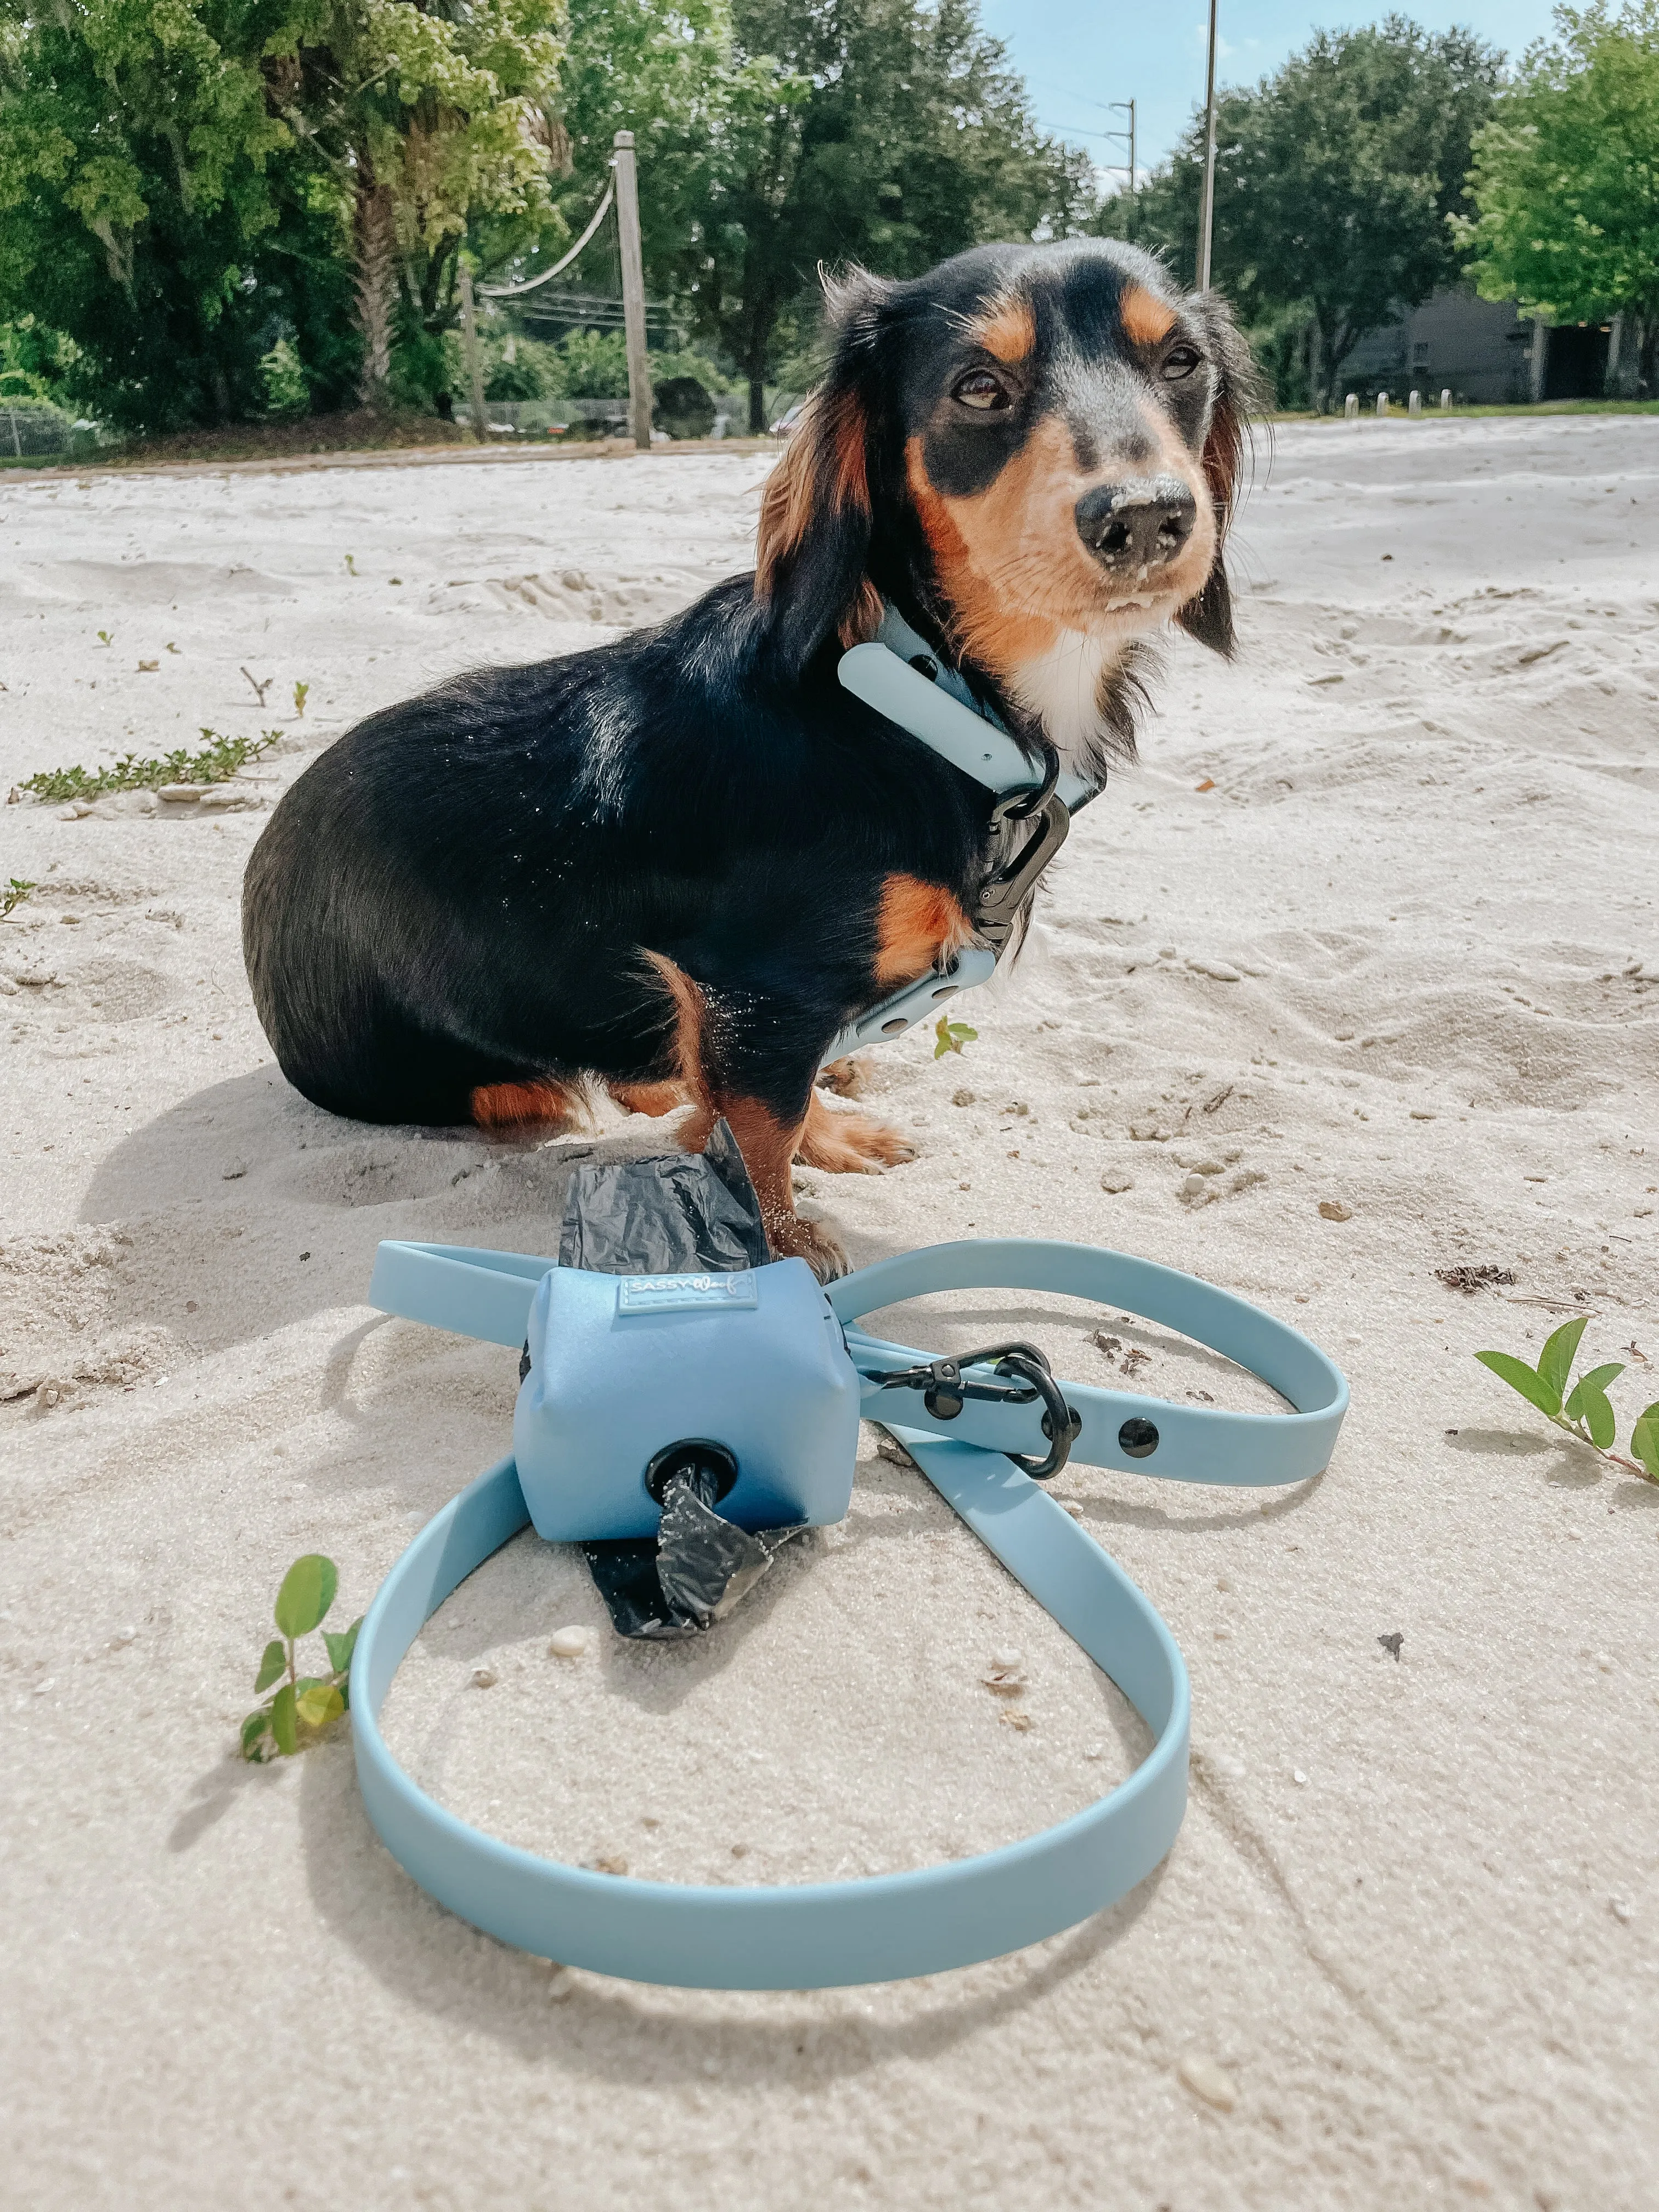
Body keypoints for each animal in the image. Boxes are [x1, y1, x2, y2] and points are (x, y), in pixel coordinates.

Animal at [243, 238, 1256, 1283]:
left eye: (1181, 364)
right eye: (978, 387)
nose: (1145, 519)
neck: (917, 692)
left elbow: (771, 1102)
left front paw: (820, 1137)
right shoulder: (752, 990)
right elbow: (761, 1123)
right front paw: (777, 1242)